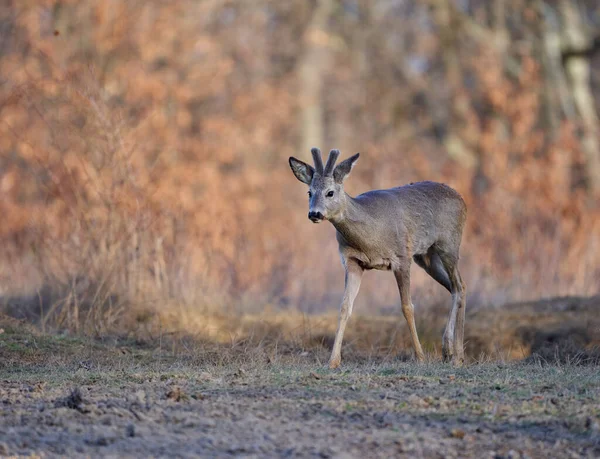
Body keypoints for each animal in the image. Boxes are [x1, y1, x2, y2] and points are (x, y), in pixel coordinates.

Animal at [288, 149, 466, 368]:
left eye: (330, 192)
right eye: (309, 192)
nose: (314, 213)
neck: (371, 235)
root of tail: (462, 199)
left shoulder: (401, 257)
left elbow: (407, 307)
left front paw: (420, 357)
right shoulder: (352, 262)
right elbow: (345, 307)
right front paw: (333, 361)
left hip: (449, 243)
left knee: (458, 286)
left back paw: (456, 354)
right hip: (426, 256)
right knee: (455, 287)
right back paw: (450, 351)